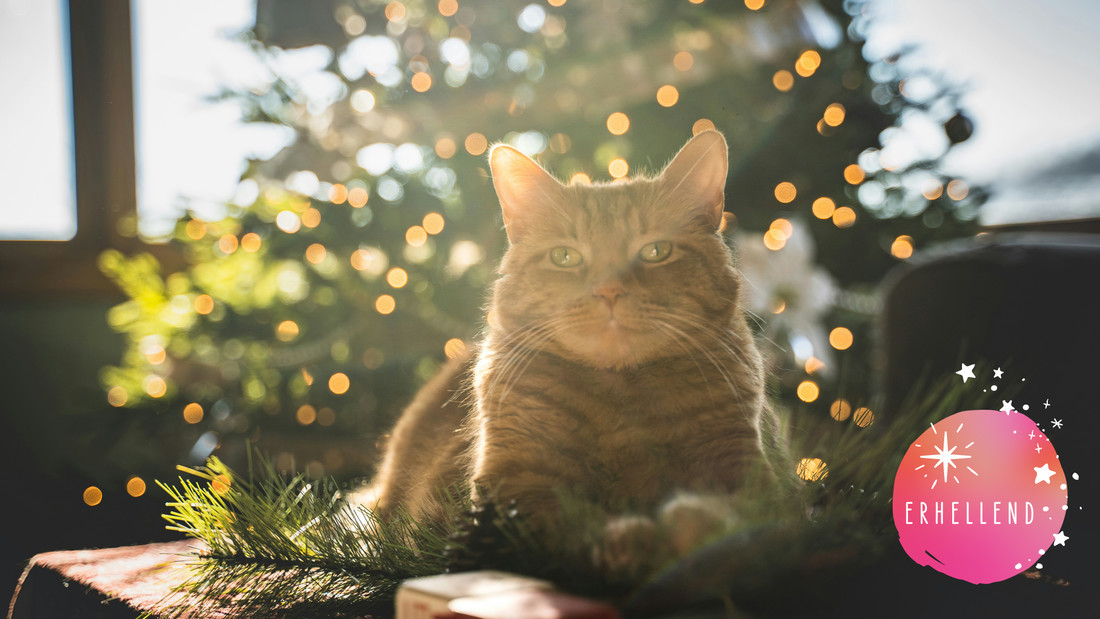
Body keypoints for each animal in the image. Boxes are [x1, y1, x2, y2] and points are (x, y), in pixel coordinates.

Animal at [356, 130, 796, 567]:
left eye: (656, 251)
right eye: (564, 256)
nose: (608, 290)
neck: (622, 400)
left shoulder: (749, 470)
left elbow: (734, 517)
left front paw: (681, 525)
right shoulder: (516, 484)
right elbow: (569, 521)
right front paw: (627, 540)